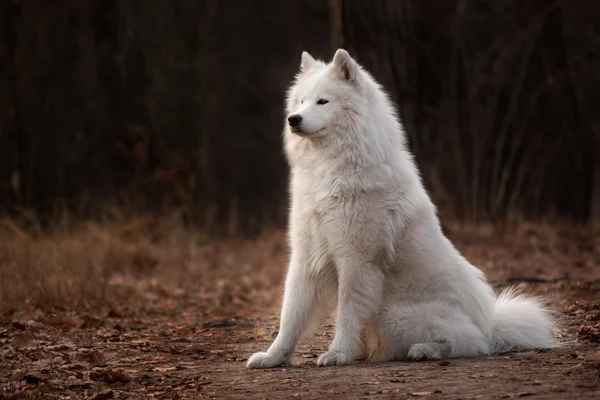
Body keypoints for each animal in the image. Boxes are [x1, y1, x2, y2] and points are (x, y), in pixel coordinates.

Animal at [246, 48, 556, 368]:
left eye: (323, 101)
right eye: (301, 101)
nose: (293, 119)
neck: (330, 167)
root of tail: (491, 323)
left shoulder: (356, 260)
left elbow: (346, 311)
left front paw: (338, 353)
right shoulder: (305, 257)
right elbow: (290, 315)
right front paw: (273, 357)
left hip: (395, 315)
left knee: (470, 341)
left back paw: (426, 350)